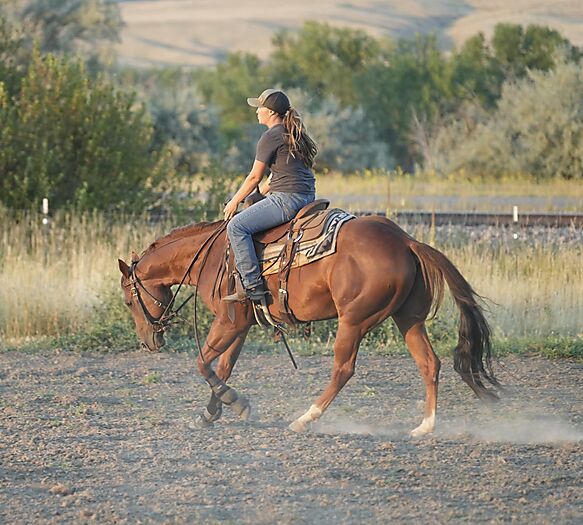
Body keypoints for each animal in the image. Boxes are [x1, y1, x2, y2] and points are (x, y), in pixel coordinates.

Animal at [118, 212, 499, 436]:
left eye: (128, 301)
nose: (149, 341)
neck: (211, 257)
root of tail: (406, 240)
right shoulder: (240, 324)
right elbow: (222, 367)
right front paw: (212, 412)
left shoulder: (228, 322)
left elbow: (202, 363)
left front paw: (233, 402)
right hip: (408, 319)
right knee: (429, 363)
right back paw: (425, 426)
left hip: (354, 321)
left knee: (343, 370)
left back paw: (304, 418)